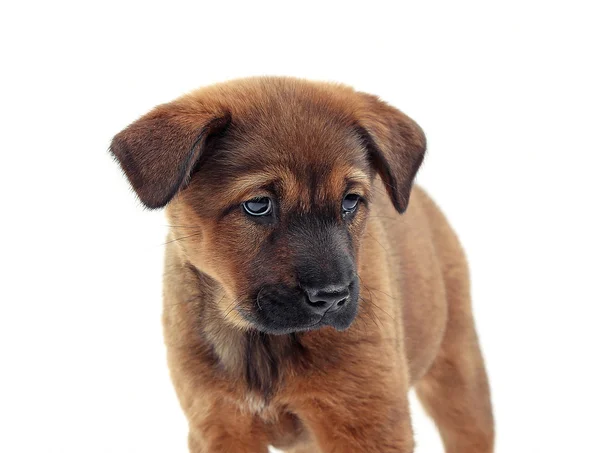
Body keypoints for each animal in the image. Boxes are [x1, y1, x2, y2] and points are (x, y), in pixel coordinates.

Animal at [110, 76, 494, 450]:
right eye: (258, 205)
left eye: (350, 201)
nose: (332, 297)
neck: (262, 344)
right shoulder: (218, 424)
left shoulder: (368, 421)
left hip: (460, 375)